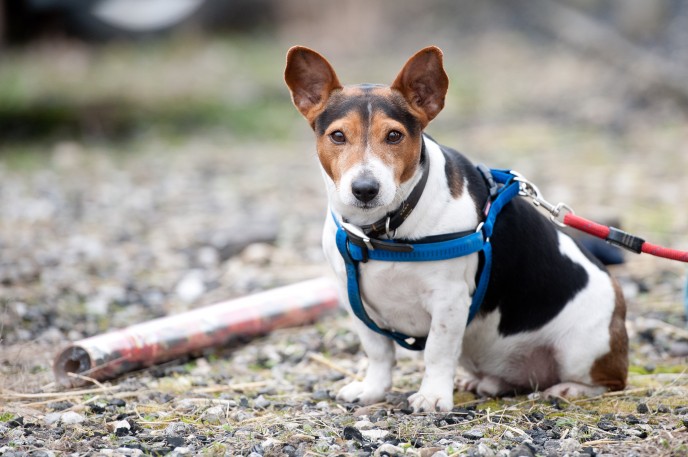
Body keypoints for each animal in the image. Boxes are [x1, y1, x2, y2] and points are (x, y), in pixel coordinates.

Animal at [282, 44, 628, 412]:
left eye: (394, 135)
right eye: (337, 135)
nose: (365, 189)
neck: (384, 229)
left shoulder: (449, 300)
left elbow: (437, 350)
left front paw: (433, 395)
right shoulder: (356, 302)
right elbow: (378, 353)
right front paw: (373, 389)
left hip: (583, 347)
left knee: (610, 382)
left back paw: (569, 389)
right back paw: (486, 382)